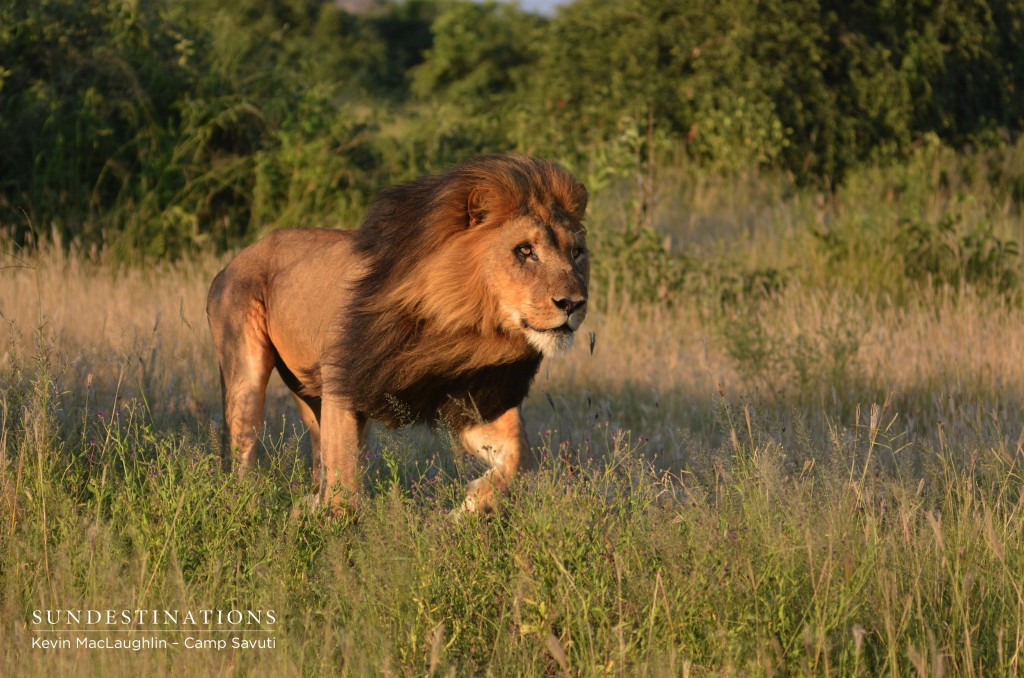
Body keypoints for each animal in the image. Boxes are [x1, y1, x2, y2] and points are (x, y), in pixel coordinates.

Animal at [205, 153, 593, 516]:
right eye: (525, 250)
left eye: (576, 253)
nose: (574, 303)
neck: (455, 327)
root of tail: (234, 260)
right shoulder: (344, 379)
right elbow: (344, 477)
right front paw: (331, 526)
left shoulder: (472, 399)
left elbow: (520, 457)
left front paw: (469, 510)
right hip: (246, 372)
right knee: (243, 452)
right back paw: (246, 508)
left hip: (309, 392)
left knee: (318, 457)